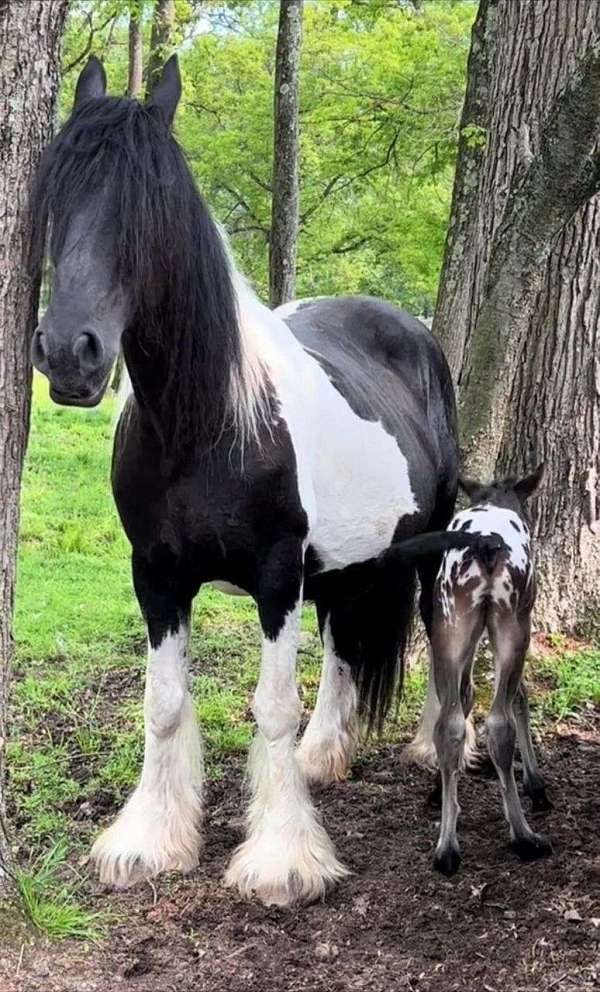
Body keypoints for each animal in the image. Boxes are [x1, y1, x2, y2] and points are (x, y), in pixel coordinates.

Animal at [30, 55, 459, 907]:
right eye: (57, 194)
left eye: (153, 205)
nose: (69, 354)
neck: (208, 428)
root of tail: (409, 328)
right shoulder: (156, 575)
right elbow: (164, 703)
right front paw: (149, 841)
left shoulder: (273, 576)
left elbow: (270, 708)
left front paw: (284, 860)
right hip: (341, 564)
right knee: (341, 640)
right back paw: (327, 755)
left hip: (427, 541)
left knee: (432, 623)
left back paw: (432, 747)